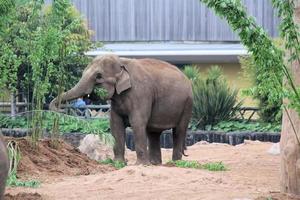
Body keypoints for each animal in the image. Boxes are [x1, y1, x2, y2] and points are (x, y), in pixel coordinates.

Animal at [49, 54, 192, 165]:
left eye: (99, 76)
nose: (61, 110)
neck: (122, 61)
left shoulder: (141, 93)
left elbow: (137, 122)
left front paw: (140, 165)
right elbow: (115, 124)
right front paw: (118, 163)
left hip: (187, 104)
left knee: (179, 130)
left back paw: (175, 163)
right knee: (153, 133)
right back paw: (155, 164)